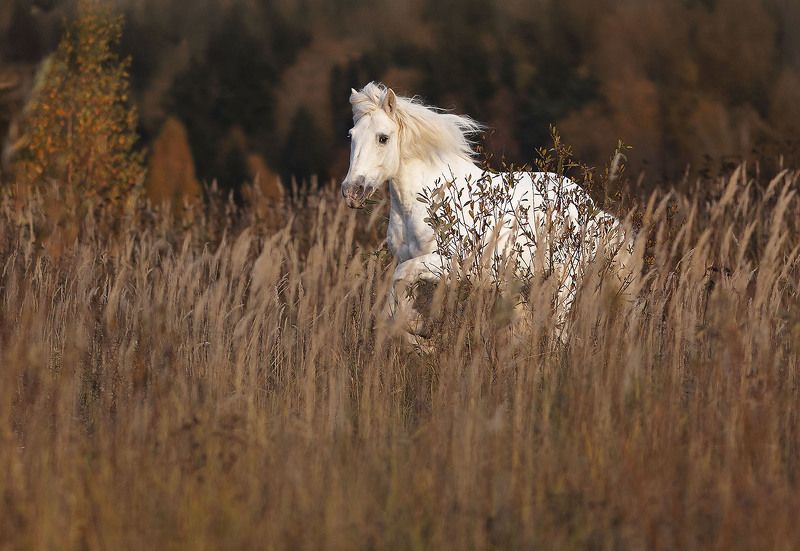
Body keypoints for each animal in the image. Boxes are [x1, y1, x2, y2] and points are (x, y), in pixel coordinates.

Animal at [340, 82, 632, 343]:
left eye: (383, 138)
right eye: (351, 136)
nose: (351, 191)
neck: (428, 201)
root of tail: (589, 207)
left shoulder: (452, 264)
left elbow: (400, 279)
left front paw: (418, 329)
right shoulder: (410, 259)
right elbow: (397, 297)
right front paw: (417, 333)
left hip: (564, 281)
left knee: (559, 332)